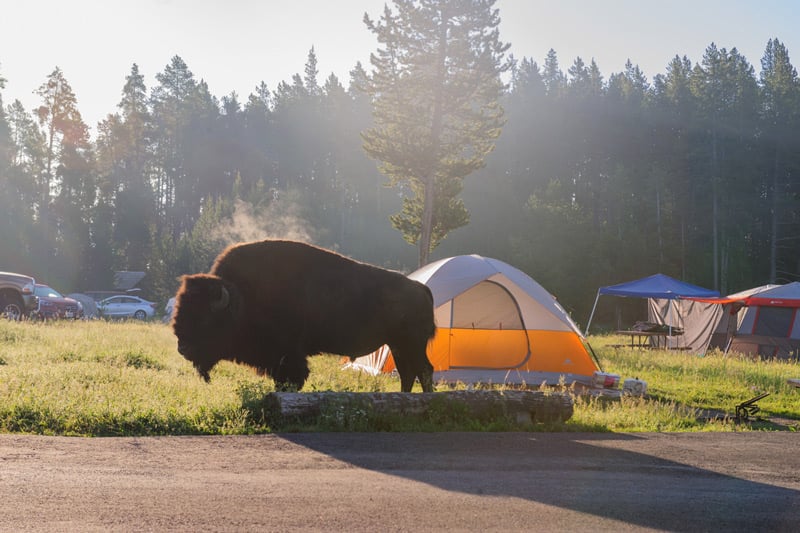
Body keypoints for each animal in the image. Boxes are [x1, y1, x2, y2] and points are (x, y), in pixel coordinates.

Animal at [170, 240, 438, 390]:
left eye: (204, 318)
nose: (182, 348)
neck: (242, 297)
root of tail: (421, 288)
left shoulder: (288, 355)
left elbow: (291, 378)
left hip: (411, 343)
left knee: (423, 370)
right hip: (397, 345)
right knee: (408, 373)